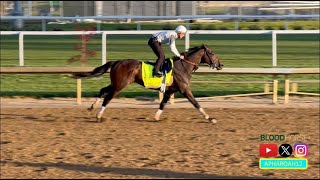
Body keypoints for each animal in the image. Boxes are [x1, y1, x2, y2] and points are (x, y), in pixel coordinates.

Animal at [73, 44, 222, 122]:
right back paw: (98, 115)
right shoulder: (184, 89)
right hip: (120, 85)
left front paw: (156, 117)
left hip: (116, 83)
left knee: (103, 90)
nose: (221, 64)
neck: (183, 66)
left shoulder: (169, 91)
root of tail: (116, 62)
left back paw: (92, 107)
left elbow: (162, 104)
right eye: (212, 53)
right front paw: (209, 117)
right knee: (108, 97)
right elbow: (195, 103)